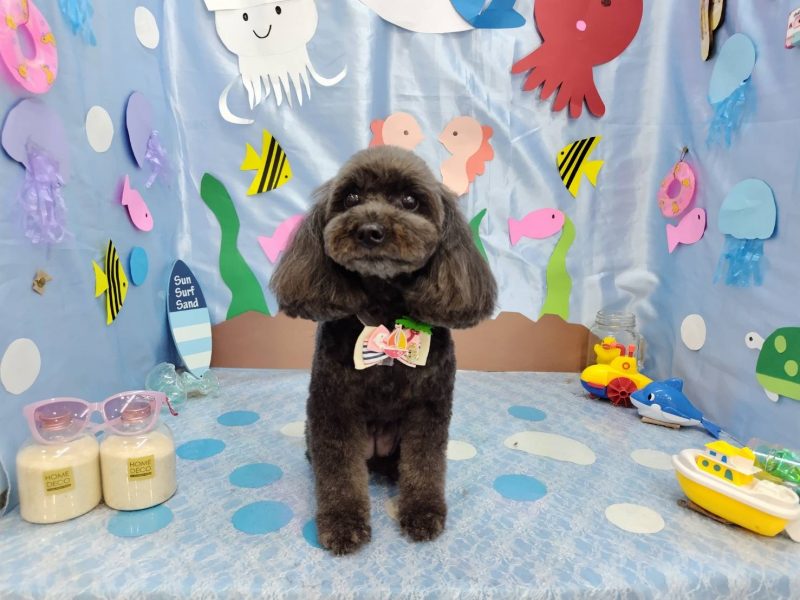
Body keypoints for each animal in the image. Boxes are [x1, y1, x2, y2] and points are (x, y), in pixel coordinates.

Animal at [270, 146, 496, 555]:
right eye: (351, 198)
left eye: (409, 201)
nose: (370, 231)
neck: (386, 322)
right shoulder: (334, 408)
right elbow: (339, 473)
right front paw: (343, 522)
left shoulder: (429, 409)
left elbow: (425, 464)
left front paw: (422, 511)